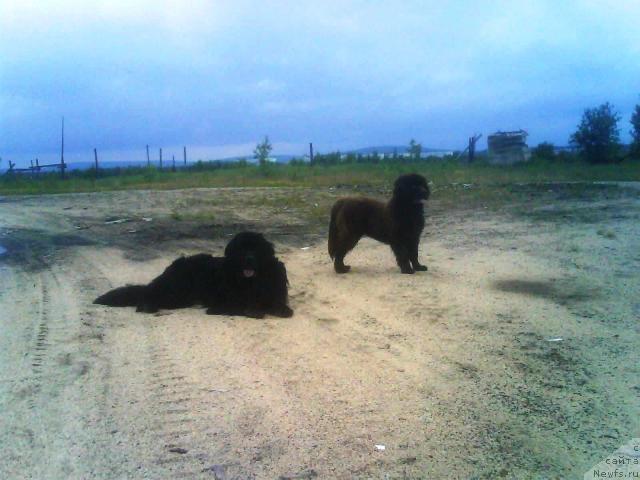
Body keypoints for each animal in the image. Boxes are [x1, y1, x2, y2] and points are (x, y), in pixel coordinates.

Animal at [94, 232, 294, 318]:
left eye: (256, 248)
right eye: (241, 249)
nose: (249, 258)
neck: (251, 281)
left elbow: (278, 304)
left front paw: (279, 309)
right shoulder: (221, 303)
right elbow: (238, 305)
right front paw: (254, 310)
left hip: (180, 299)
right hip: (175, 289)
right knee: (148, 295)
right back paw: (146, 306)